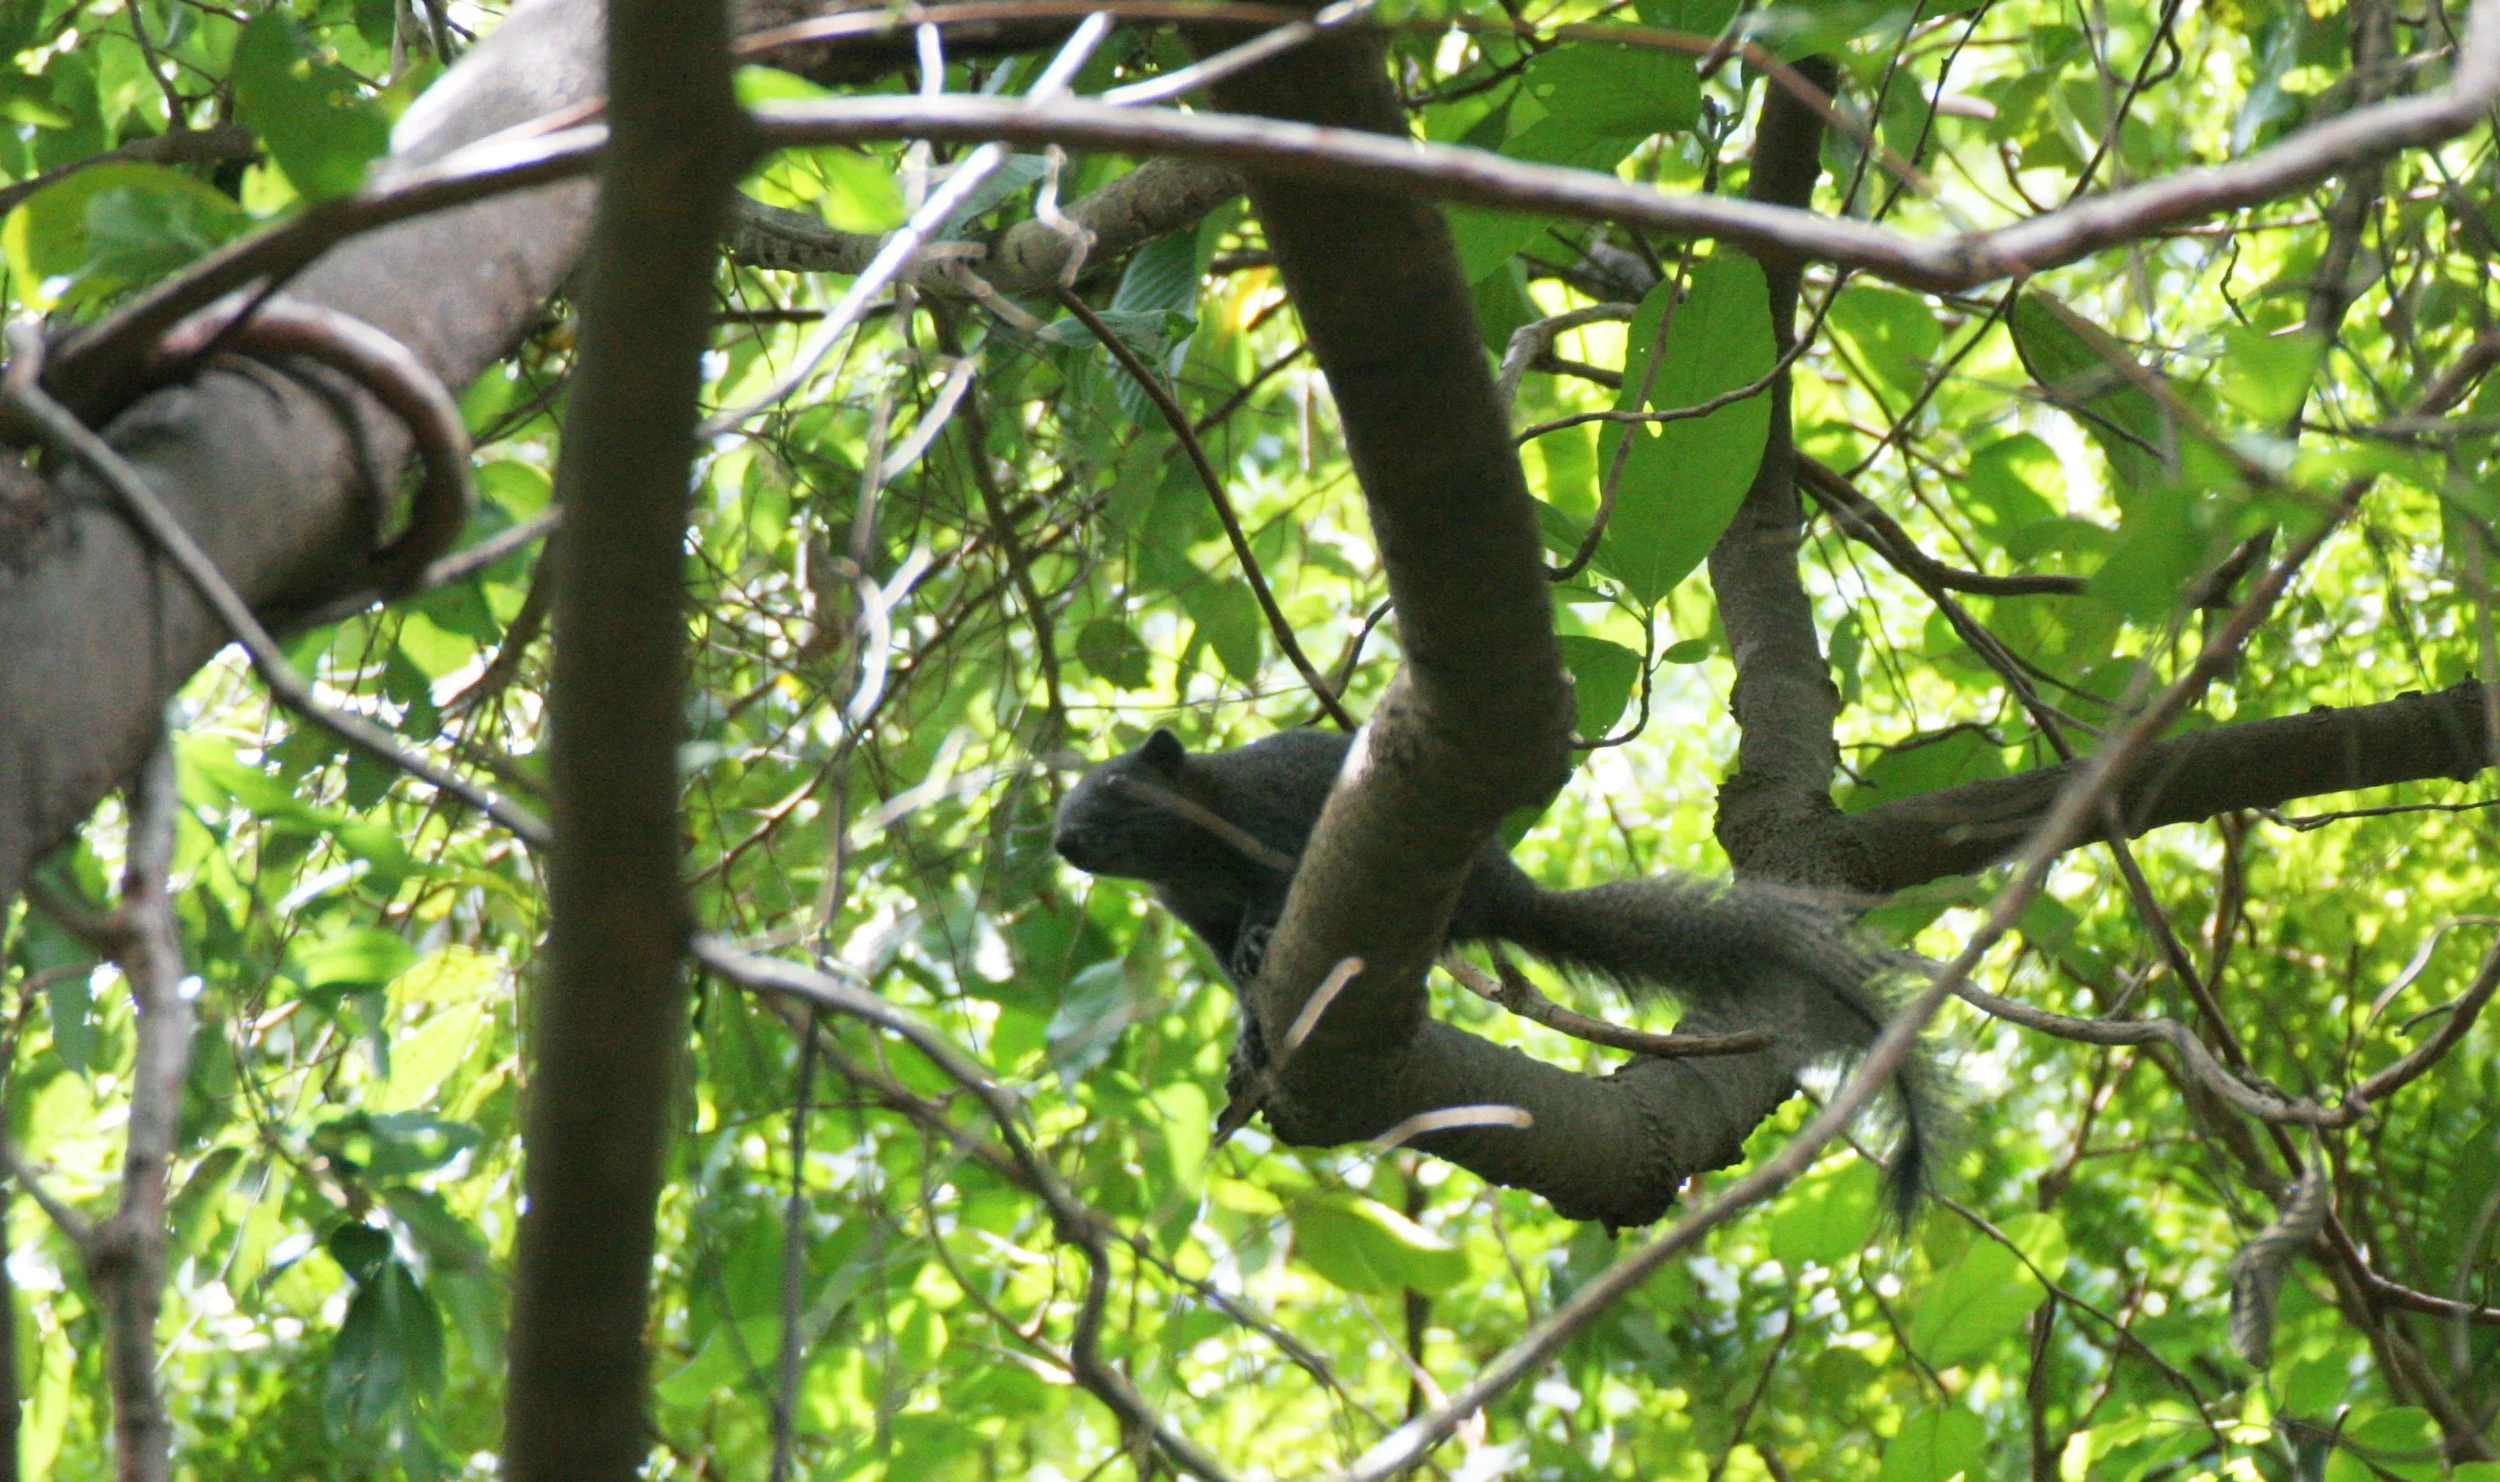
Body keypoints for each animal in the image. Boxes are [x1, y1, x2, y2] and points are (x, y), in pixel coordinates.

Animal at [1053, 726, 1949, 1218]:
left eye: (1118, 783)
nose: (1062, 839)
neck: (1190, 851)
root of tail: (1500, 886)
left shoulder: (1274, 831)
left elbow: (1272, 899)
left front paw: (1260, 940)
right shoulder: (1193, 912)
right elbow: (1227, 966)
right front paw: (1247, 1017)